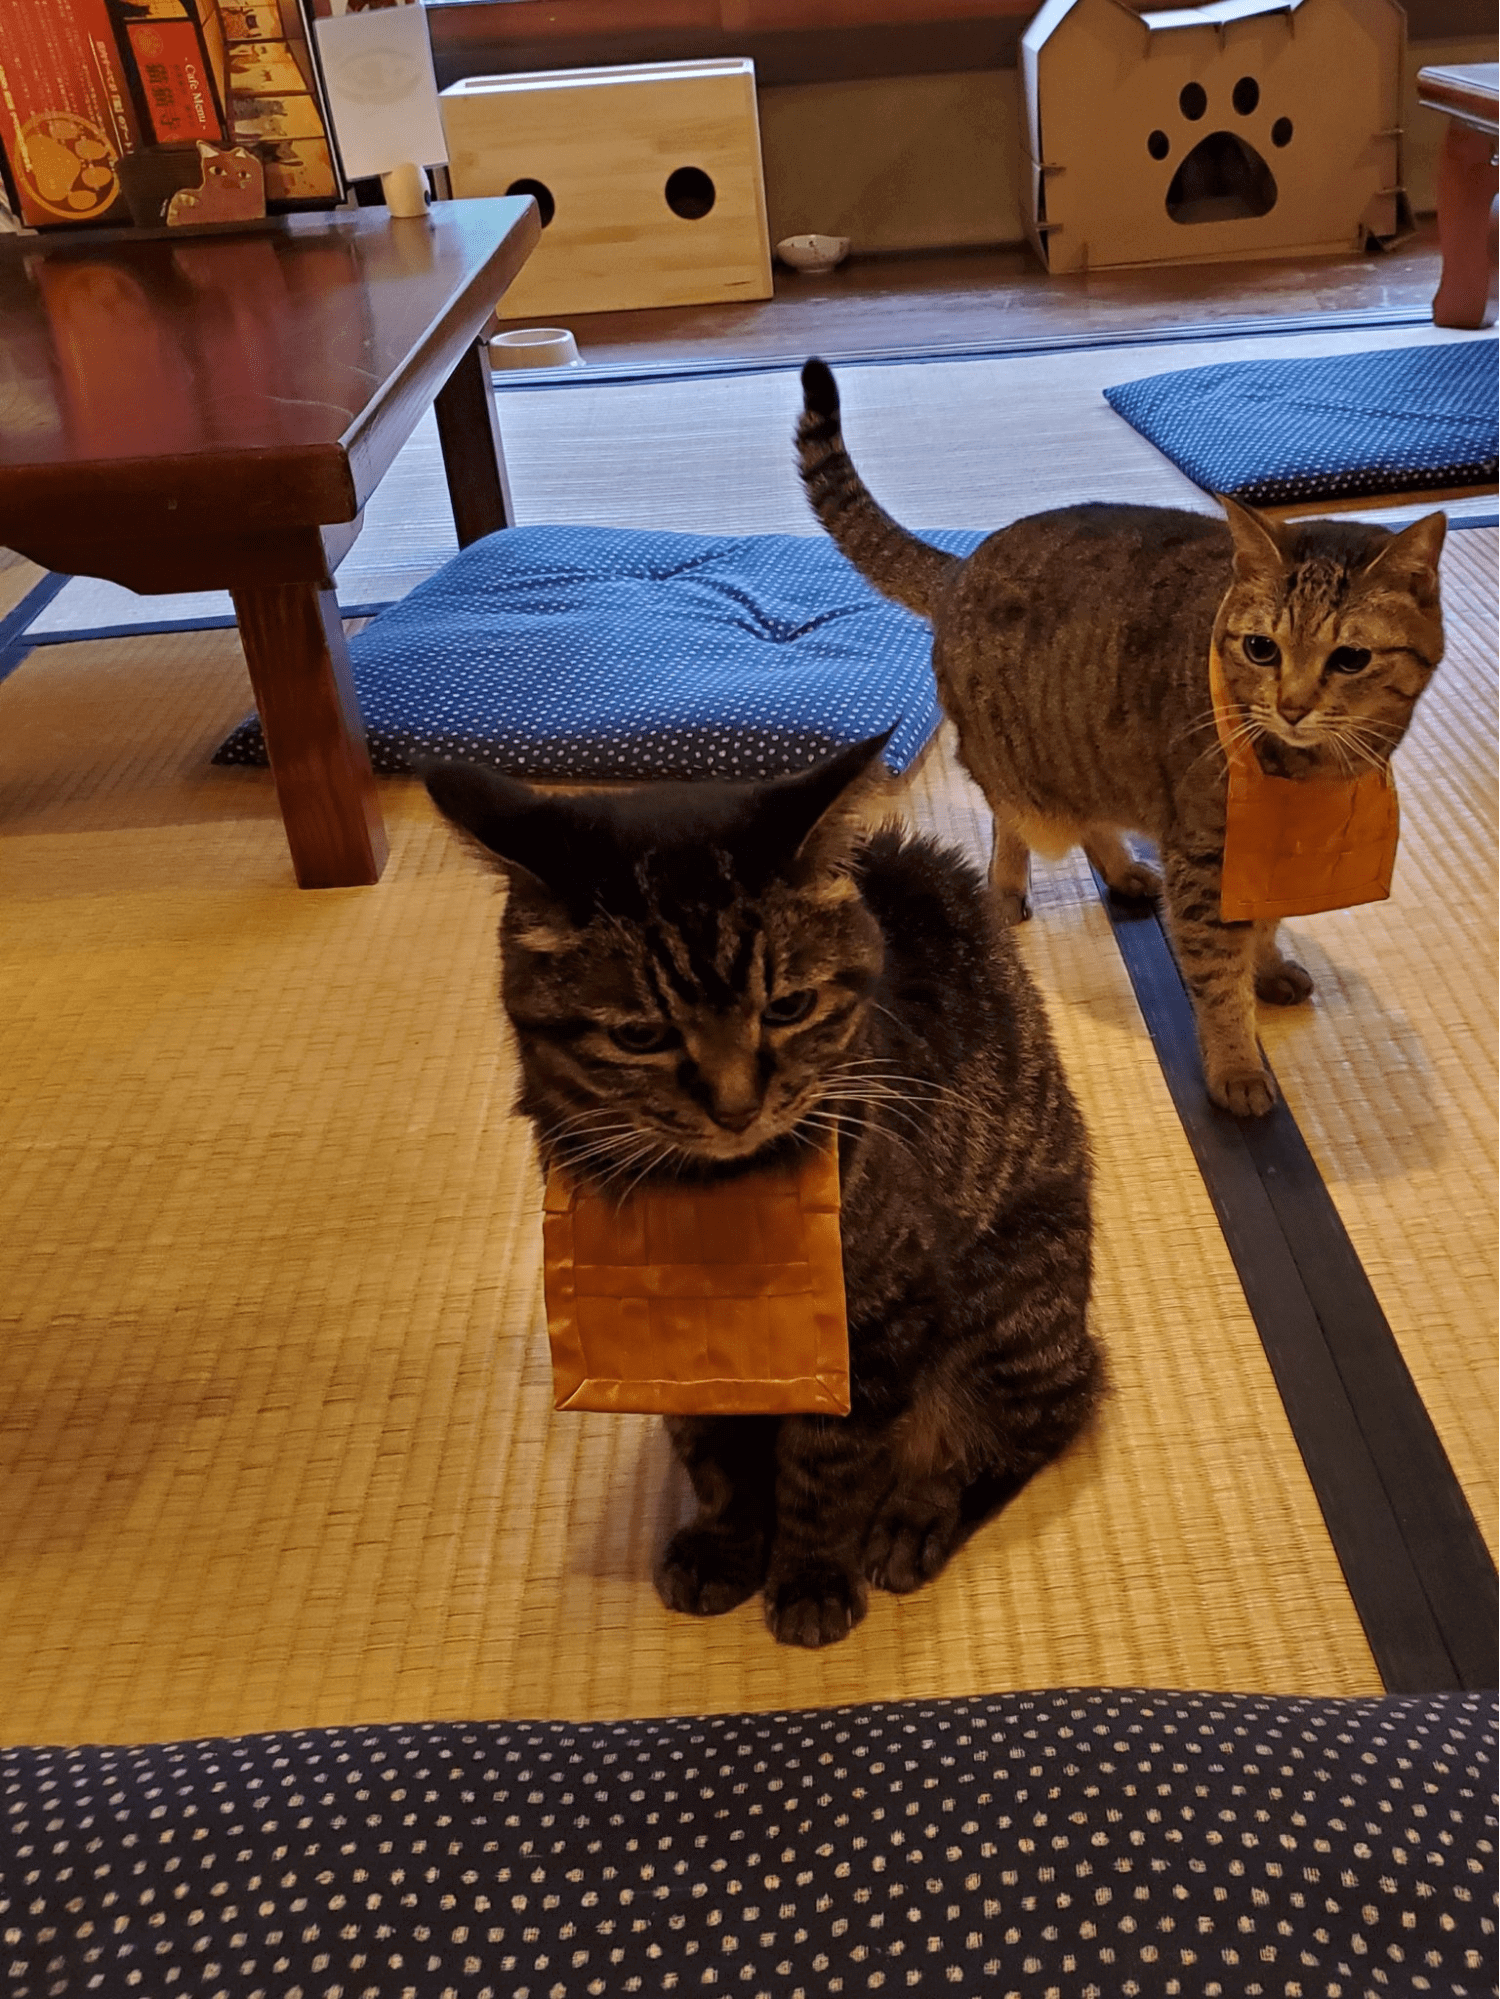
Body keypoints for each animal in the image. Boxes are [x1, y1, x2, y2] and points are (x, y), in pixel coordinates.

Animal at [426, 743, 1104, 1647]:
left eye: (788, 1006)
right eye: (640, 1034)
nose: (736, 1106)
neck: (709, 1202)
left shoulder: (875, 1324)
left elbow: (826, 1464)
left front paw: (811, 1574)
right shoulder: (671, 1353)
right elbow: (717, 1459)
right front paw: (726, 1544)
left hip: (1010, 1302)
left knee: (1035, 1423)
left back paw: (915, 1517)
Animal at [792, 351, 1448, 1119]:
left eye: (1350, 659)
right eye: (1262, 649)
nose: (1290, 706)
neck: (1310, 778)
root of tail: (962, 565)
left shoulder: (1266, 860)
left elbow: (1264, 924)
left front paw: (1269, 967)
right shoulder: (1206, 857)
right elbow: (1217, 979)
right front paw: (1237, 1064)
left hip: (1092, 762)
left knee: (1091, 818)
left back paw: (1123, 868)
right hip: (1018, 766)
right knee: (1011, 821)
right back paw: (1006, 887)